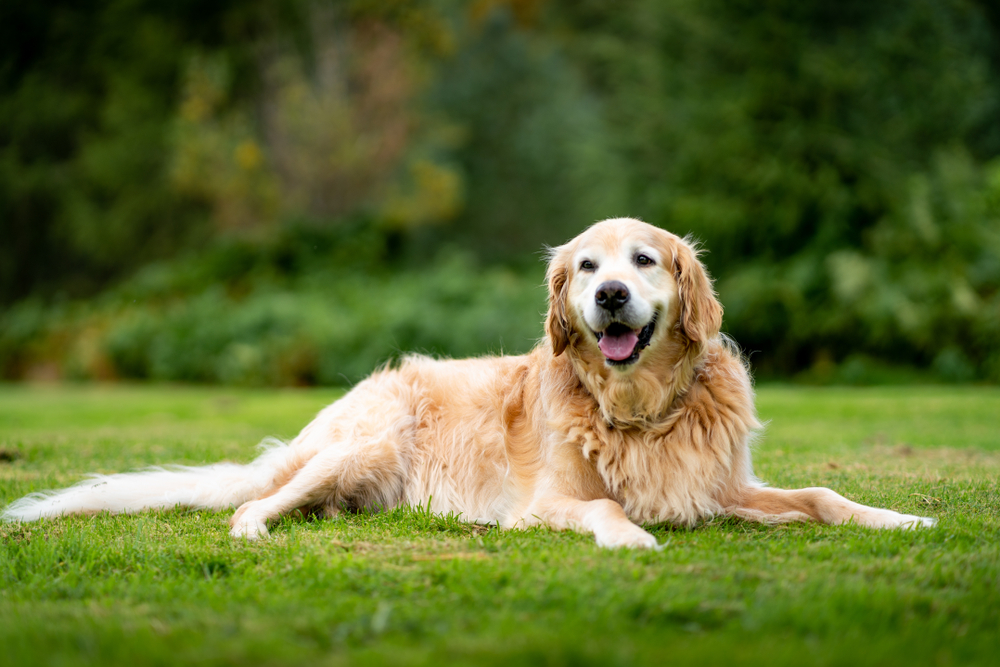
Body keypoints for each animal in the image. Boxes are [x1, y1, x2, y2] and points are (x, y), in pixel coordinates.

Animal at [3, 219, 932, 548]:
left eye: (643, 260)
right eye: (586, 266)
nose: (609, 295)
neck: (637, 410)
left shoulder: (718, 483)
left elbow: (820, 494)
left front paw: (903, 517)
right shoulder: (551, 498)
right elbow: (604, 507)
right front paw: (630, 538)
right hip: (364, 442)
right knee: (252, 502)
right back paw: (258, 527)